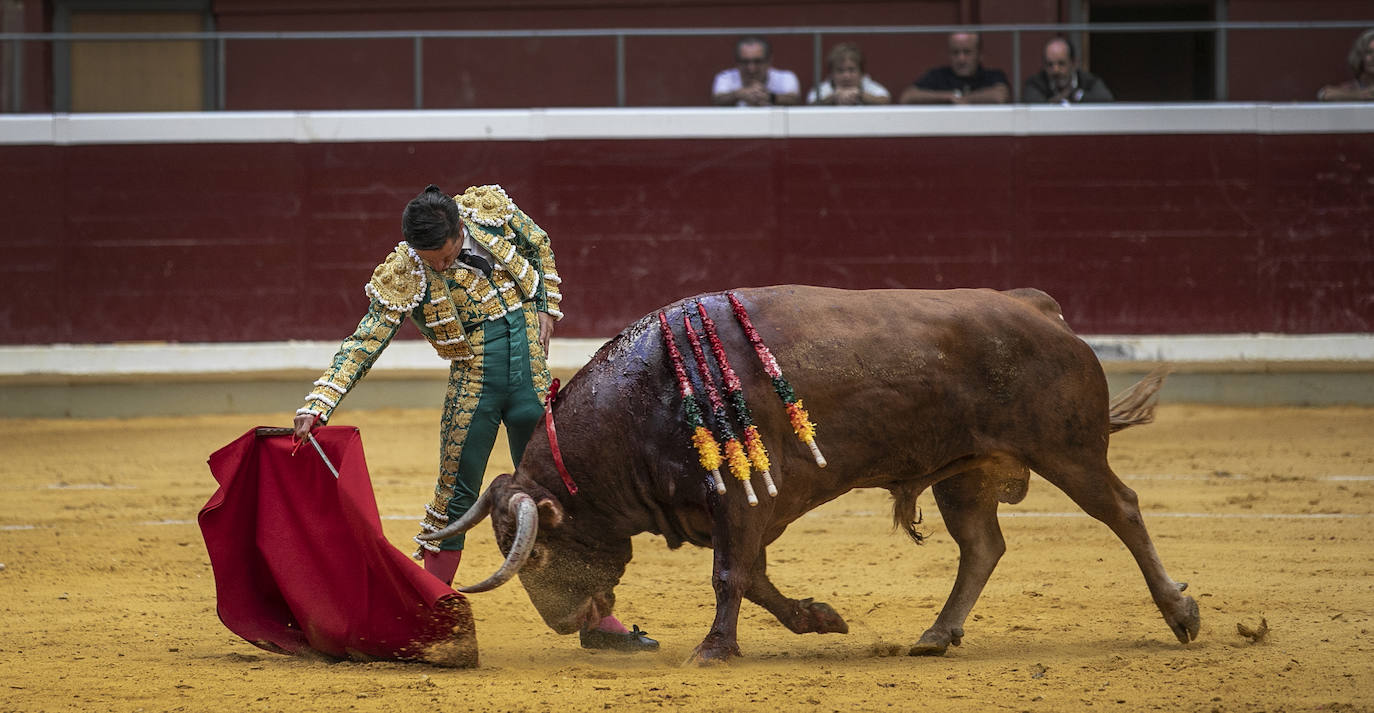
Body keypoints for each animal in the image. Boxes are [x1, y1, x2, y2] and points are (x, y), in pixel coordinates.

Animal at [423, 284, 1198, 664]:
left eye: (535, 550)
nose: (563, 622)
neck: (651, 397)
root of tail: (1040, 309)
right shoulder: (743, 508)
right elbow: (755, 578)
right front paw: (817, 619)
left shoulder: (741, 502)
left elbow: (731, 575)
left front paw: (713, 649)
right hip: (965, 473)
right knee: (982, 546)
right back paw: (936, 635)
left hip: (1068, 451)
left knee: (1123, 510)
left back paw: (1181, 612)